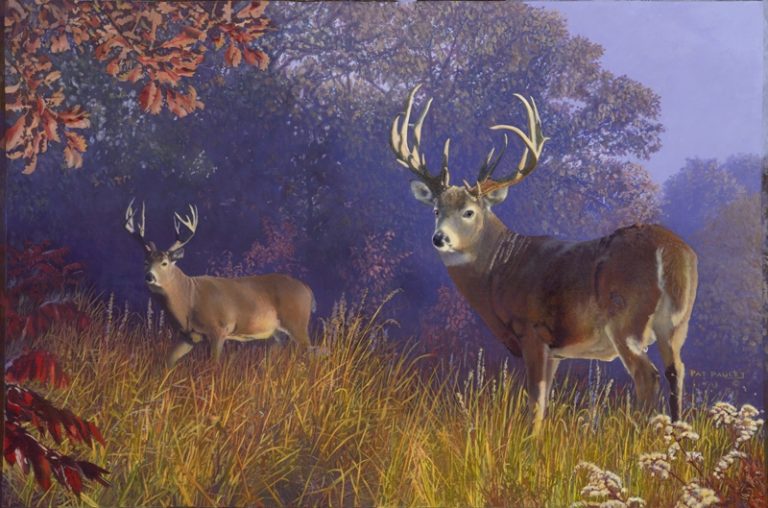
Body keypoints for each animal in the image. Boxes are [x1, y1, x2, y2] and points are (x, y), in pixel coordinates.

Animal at [124, 200, 316, 367]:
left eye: (164, 263)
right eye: (145, 262)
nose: (149, 277)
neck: (188, 300)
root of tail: (308, 289)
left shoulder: (218, 329)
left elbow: (213, 365)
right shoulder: (188, 336)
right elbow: (167, 362)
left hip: (297, 323)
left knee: (312, 354)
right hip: (278, 333)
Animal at [390, 85, 698, 432]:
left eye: (469, 212)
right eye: (435, 209)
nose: (439, 238)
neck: (500, 270)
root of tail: (671, 252)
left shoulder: (532, 330)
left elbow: (535, 401)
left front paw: (529, 442)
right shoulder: (556, 352)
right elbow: (545, 401)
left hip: (626, 320)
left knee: (648, 376)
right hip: (677, 324)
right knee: (677, 372)